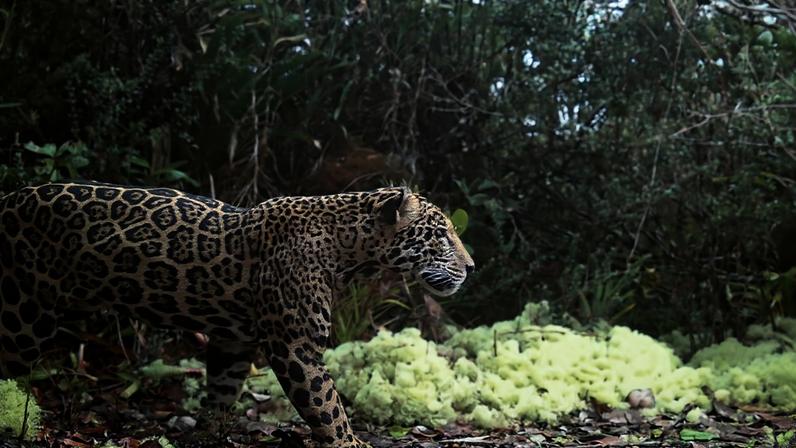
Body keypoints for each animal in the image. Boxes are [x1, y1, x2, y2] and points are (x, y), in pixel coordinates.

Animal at [0, 181, 474, 447]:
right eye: (441, 235)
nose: (471, 267)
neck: (349, 250)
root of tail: (6, 198)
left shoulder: (233, 341)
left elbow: (223, 391)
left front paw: (209, 433)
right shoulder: (295, 345)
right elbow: (328, 406)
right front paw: (351, 443)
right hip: (24, 311)